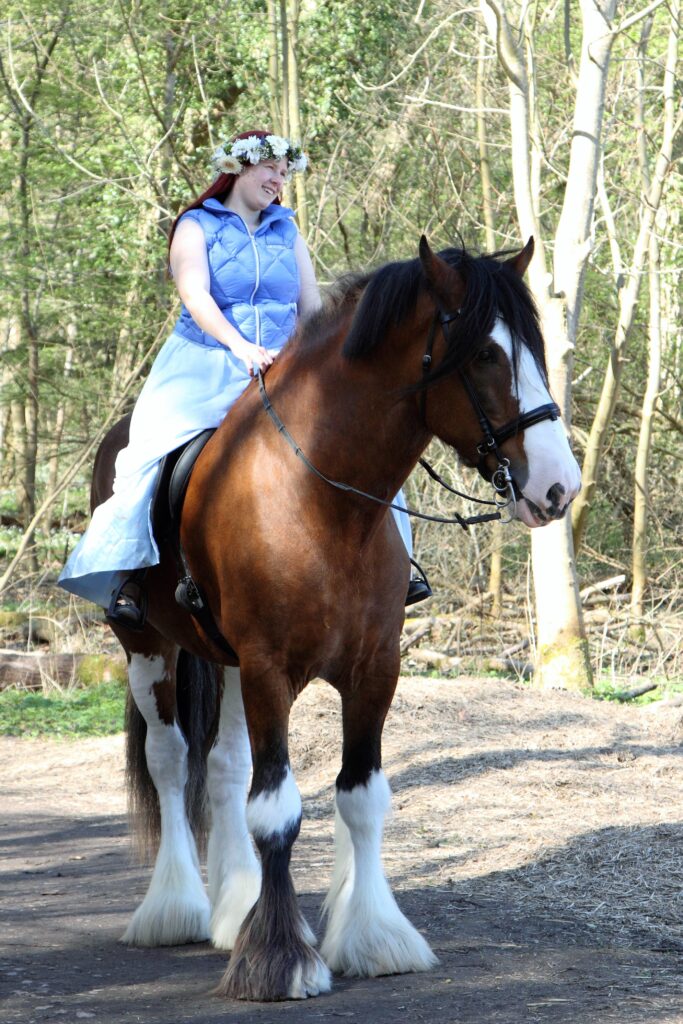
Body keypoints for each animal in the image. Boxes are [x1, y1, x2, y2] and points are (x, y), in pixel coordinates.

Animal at [94, 236, 581, 1001]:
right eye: (484, 355)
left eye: (532, 348)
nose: (559, 487)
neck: (322, 497)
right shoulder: (269, 668)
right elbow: (278, 812)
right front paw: (280, 960)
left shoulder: (374, 667)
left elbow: (360, 798)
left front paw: (374, 936)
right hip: (147, 645)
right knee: (171, 763)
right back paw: (174, 908)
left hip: (228, 665)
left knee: (225, 769)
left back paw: (234, 907)